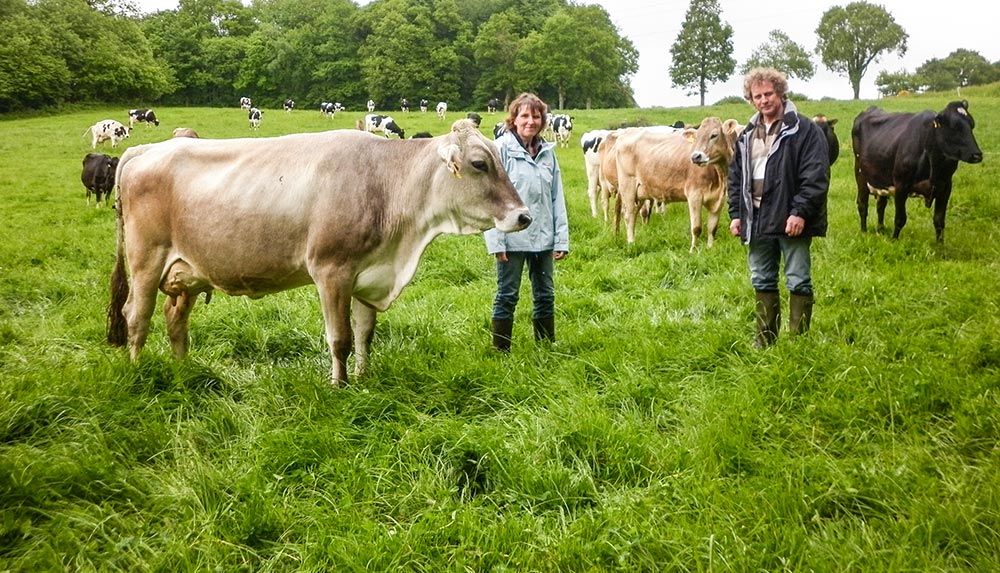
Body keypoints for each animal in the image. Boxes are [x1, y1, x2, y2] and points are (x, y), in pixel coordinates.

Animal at [105, 118, 536, 382]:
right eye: (480, 164)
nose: (524, 216)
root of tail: (146, 149)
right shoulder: (331, 271)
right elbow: (340, 338)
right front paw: (339, 385)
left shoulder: (368, 275)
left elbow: (364, 334)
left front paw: (363, 377)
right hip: (146, 263)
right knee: (136, 317)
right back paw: (136, 369)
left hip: (187, 272)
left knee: (175, 320)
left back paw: (183, 370)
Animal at [852, 99, 984, 240]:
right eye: (954, 127)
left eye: (972, 125)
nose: (977, 155)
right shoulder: (901, 185)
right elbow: (900, 219)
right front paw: (894, 240)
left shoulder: (946, 187)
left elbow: (939, 221)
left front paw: (940, 246)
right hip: (860, 174)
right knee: (862, 204)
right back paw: (864, 231)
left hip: (881, 179)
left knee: (881, 205)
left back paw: (880, 230)